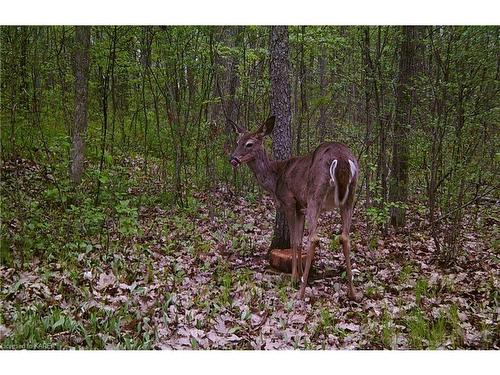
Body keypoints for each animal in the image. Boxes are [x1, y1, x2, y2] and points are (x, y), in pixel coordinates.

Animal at [229, 116, 362, 302]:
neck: (275, 178)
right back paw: (352, 293)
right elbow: (298, 242)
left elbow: (293, 241)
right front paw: (298, 274)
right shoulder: (301, 207)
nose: (233, 159)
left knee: (314, 238)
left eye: (249, 144)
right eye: (237, 142)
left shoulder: (289, 202)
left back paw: (301, 293)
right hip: (350, 196)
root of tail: (342, 159)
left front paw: (294, 278)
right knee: (345, 237)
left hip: (315, 194)